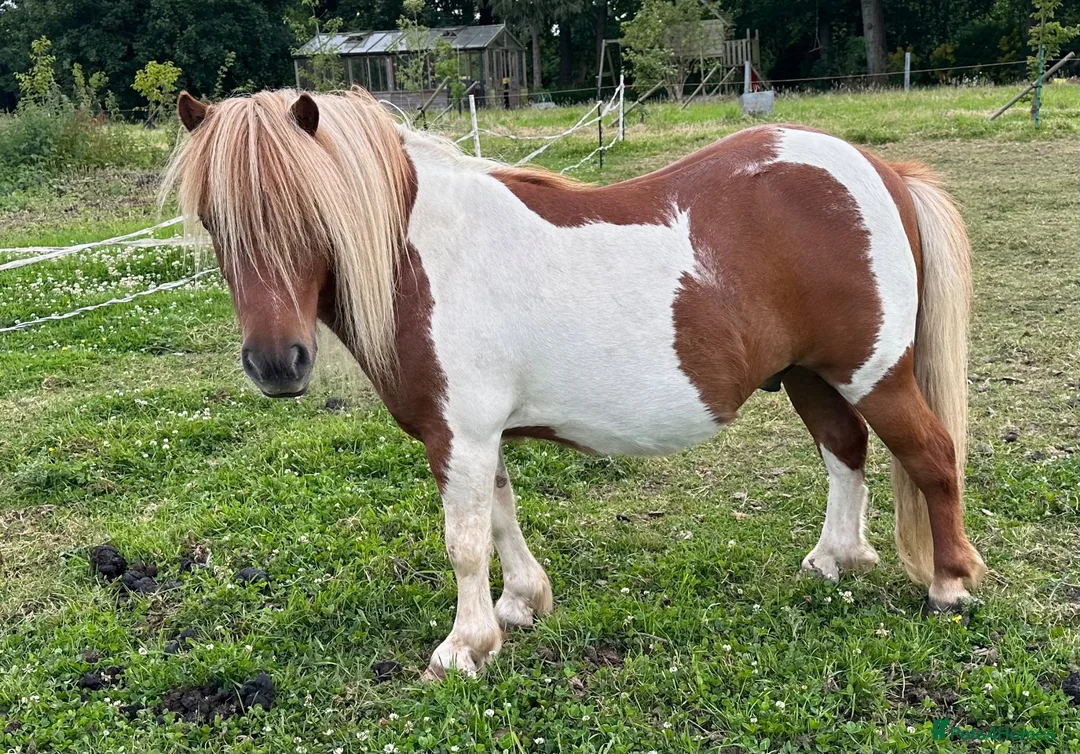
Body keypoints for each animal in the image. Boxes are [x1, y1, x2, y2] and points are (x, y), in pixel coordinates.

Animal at [163, 87, 987, 679]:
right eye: (213, 219)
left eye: (310, 210)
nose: (277, 364)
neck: (421, 257)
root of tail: (882, 172)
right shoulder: (478, 434)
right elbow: (500, 517)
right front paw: (520, 607)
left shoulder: (457, 432)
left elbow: (464, 539)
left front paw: (463, 648)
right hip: (812, 377)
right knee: (845, 453)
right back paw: (834, 560)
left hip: (872, 374)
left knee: (931, 456)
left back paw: (949, 584)